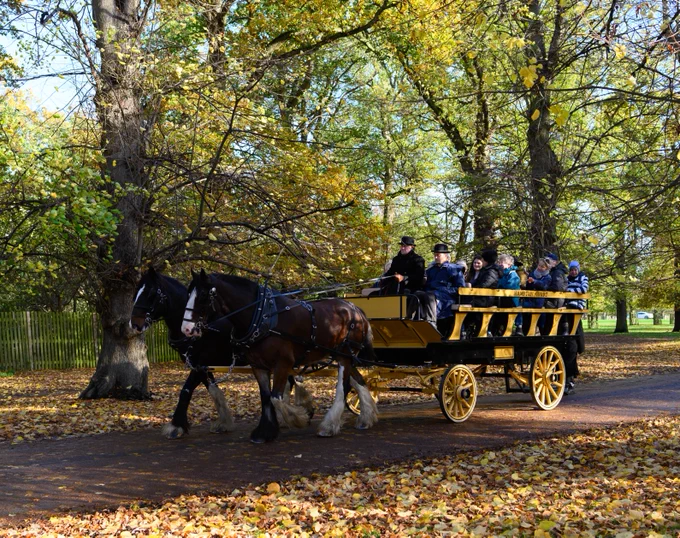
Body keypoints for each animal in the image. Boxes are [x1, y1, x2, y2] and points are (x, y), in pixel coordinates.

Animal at [181, 270, 379, 443]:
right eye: (188, 292)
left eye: (203, 294)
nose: (186, 329)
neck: (262, 317)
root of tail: (355, 308)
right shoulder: (258, 366)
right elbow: (266, 396)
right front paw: (264, 432)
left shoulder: (283, 363)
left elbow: (276, 398)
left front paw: (299, 418)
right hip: (342, 354)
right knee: (359, 381)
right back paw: (366, 418)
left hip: (344, 355)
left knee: (342, 387)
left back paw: (329, 426)